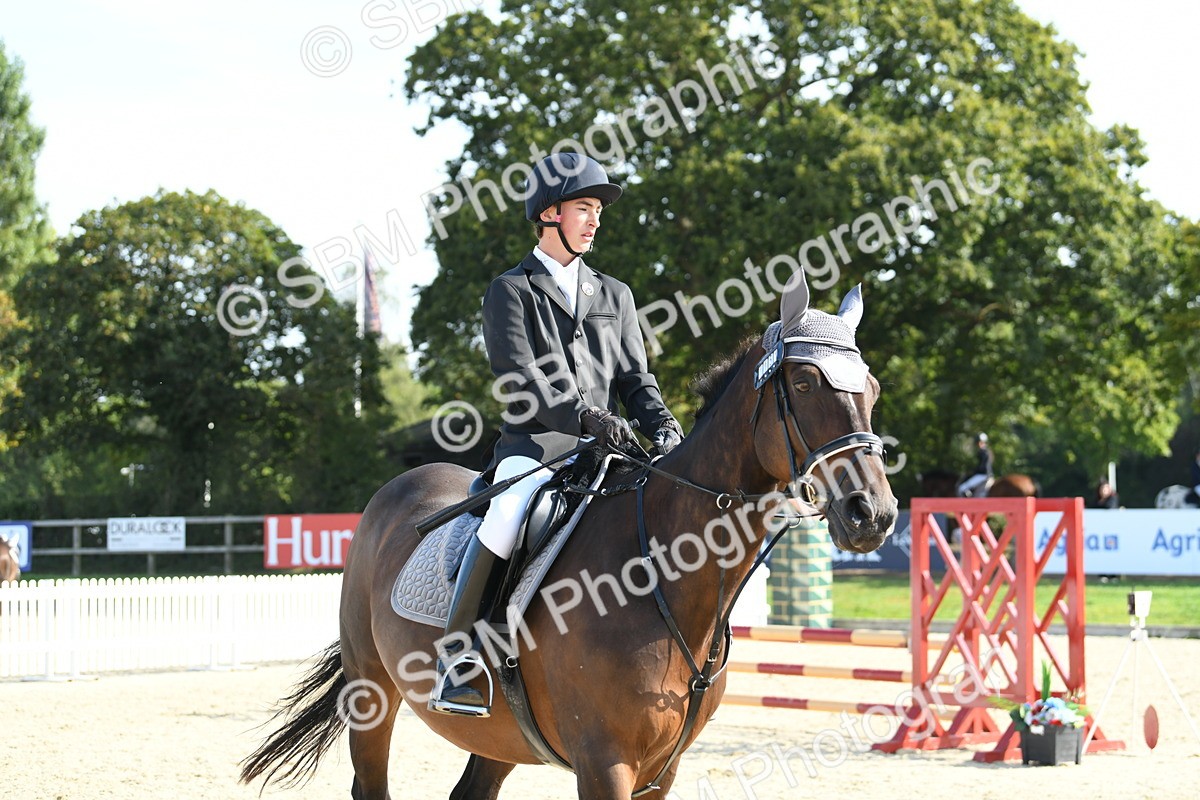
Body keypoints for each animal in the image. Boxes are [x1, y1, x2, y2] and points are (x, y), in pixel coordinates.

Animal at [240, 274, 898, 800]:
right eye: (805, 384)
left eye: (871, 388)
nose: (873, 514)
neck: (663, 576)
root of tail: (396, 488)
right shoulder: (605, 765)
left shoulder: (662, 772)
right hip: (372, 693)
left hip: (498, 733)